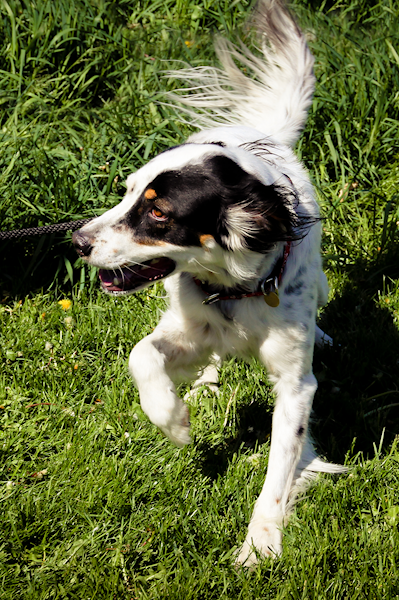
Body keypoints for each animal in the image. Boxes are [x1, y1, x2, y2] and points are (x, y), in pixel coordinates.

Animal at [72, 1, 346, 568]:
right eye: (126, 192)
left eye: (157, 213)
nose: (77, 241)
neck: (235, 291)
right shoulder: (186, 325)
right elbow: (141, 355)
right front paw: (172, 419)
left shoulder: (295, 384)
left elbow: (280, 467)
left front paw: (261, 542)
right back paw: (203, 382)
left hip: (321, 282)